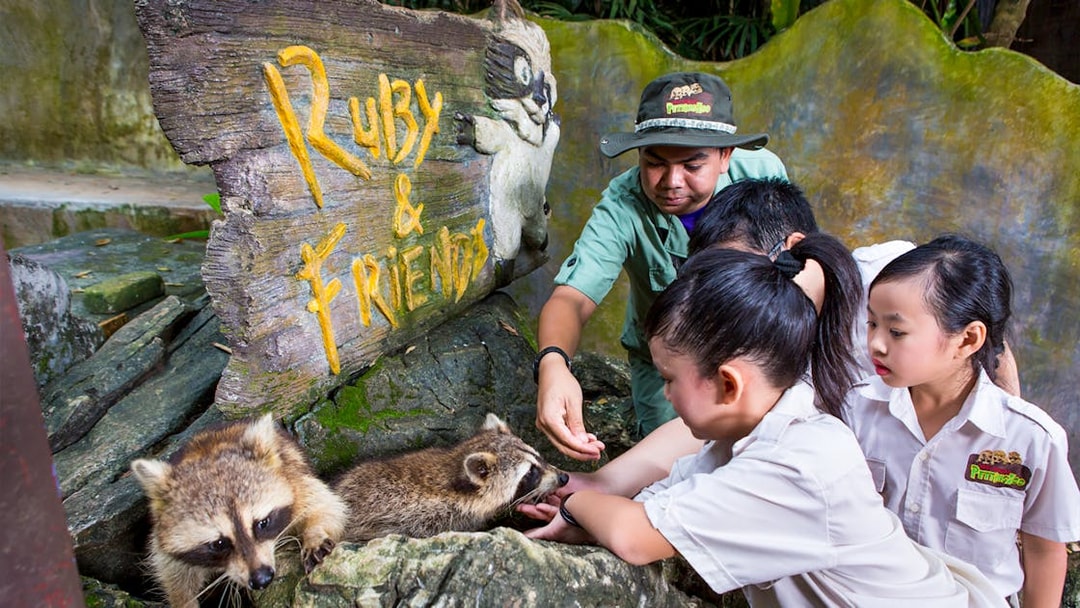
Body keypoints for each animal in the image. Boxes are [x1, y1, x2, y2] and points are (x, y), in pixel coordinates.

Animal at [130, 414, 347, 608]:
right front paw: (183, 601)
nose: (262, 579)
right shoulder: (163, 538)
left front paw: (315, 534)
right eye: (218, 543)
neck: (208, 454)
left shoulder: (294, 479)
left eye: (262, 523)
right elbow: (171, 572)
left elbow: (327, 506)